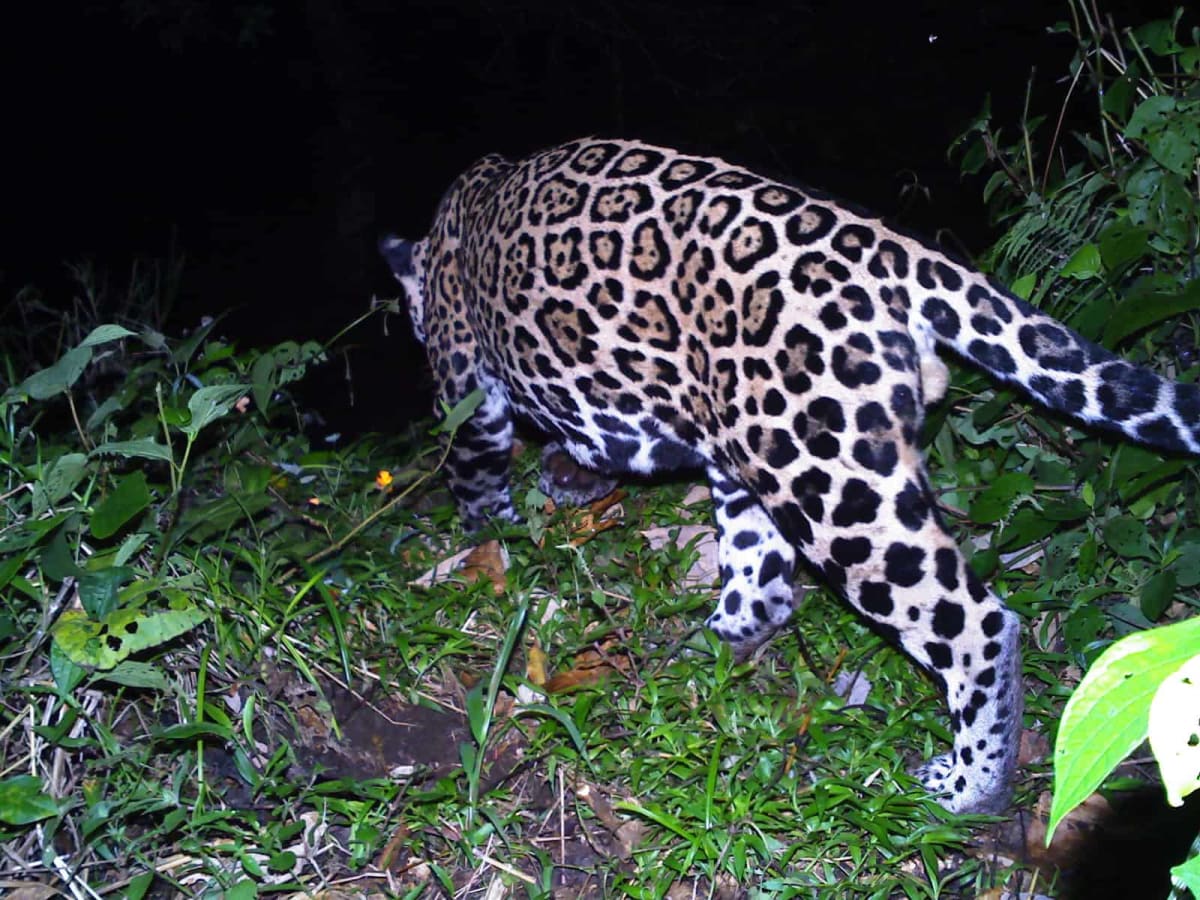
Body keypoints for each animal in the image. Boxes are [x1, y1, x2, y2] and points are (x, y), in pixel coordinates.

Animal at [380, 138, 1200, 815]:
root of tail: (891, 251)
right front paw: (568, 477)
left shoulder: (468, 391)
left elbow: (473, 476)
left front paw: (487, 541)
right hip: (760, 447)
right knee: (765, 579)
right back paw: (716, 639)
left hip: (832, 478)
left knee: (978, 623)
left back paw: (970, 787)